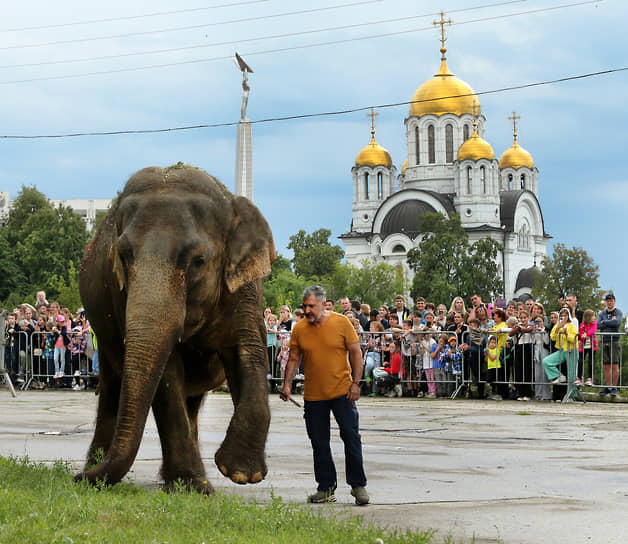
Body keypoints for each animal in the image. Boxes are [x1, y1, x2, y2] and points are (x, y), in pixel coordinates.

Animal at [75, 163, 274, 492]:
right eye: (123, 257)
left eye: (198, 261)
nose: (77, 478)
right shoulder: (120, 293)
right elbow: (167, 377)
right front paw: (195, 487)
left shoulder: (243, 287)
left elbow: (250, 351)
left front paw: (239, 472)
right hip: (103, 336)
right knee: (113, 387)